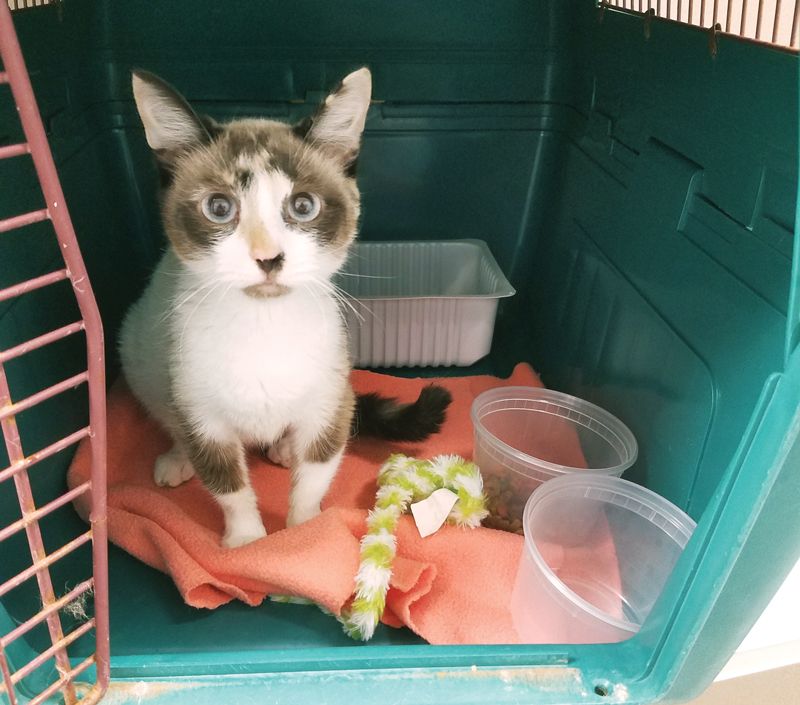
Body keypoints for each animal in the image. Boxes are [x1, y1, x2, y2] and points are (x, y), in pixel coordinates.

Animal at [122, 67, 454, 552]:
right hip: (139, 350)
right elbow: (228, 485)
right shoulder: (202, 412)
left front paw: (303, 532)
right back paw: (177, 458)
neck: (265, 325)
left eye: (303, 205)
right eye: (219, 207)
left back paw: (281, 447)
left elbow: (316, 471)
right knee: (169, 416)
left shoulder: (331, 395)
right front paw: (247, 541)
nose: (269, 257)